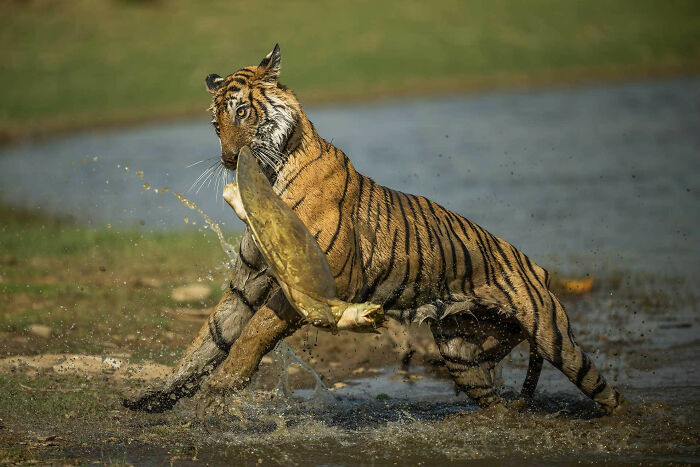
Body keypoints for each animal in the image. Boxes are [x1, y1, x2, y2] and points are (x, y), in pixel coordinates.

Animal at [123, 44, 624, 415]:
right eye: (215, 123)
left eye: (242, 113)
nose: (228, 159)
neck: (269, 176)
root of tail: (537, 266)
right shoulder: (248, 283)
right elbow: (206, 342)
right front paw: (153, 397)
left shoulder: (321, 280)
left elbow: (254, 333)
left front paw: (221, 388)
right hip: (461, 352)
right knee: (495, 401)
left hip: (553, 336)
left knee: (605, 391)